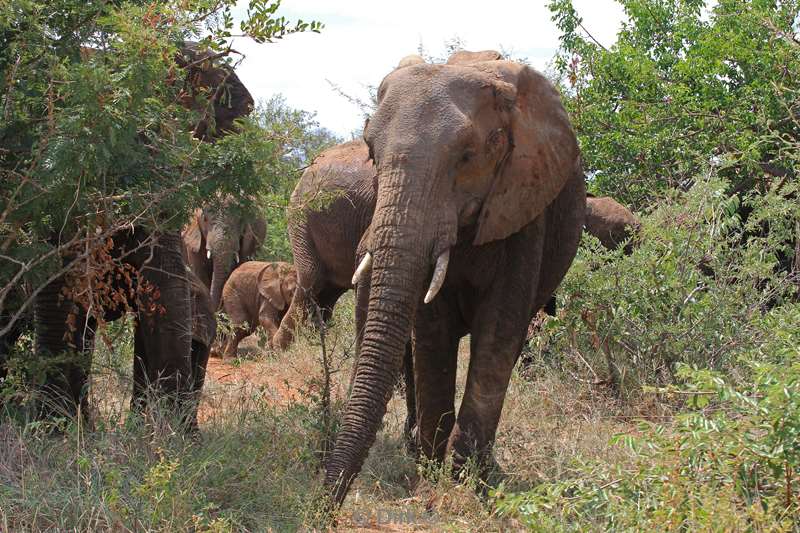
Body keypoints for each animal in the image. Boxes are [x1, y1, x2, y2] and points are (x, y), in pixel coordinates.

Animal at [324, 50, 588, 502]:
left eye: (467, 155)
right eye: (372, 152)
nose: (323, 505)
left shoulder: (523, 200)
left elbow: (498, 332)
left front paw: (466, 481)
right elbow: (432, 334)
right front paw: (432, 471)